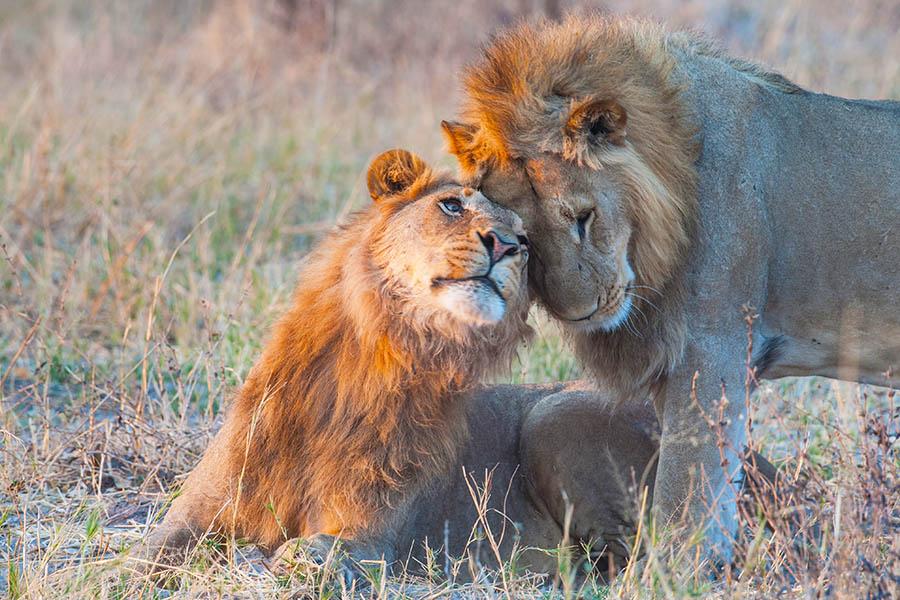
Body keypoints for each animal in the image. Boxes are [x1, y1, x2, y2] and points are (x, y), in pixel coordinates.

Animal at [133, 148, 776, 581]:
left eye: (525, 240)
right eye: (450, 206)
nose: (506, 246)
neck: (383, 351)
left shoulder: (376, 537)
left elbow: (318, 551)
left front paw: (279, 559)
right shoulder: (194, 513)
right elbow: (144, 552)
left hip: (556, 415)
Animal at [442, 14, 900, 564]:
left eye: (583, 217)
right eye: (521, 239)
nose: (581, 313)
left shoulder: (714, 349)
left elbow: (684, 496)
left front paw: (674, 571)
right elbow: (704, 494)